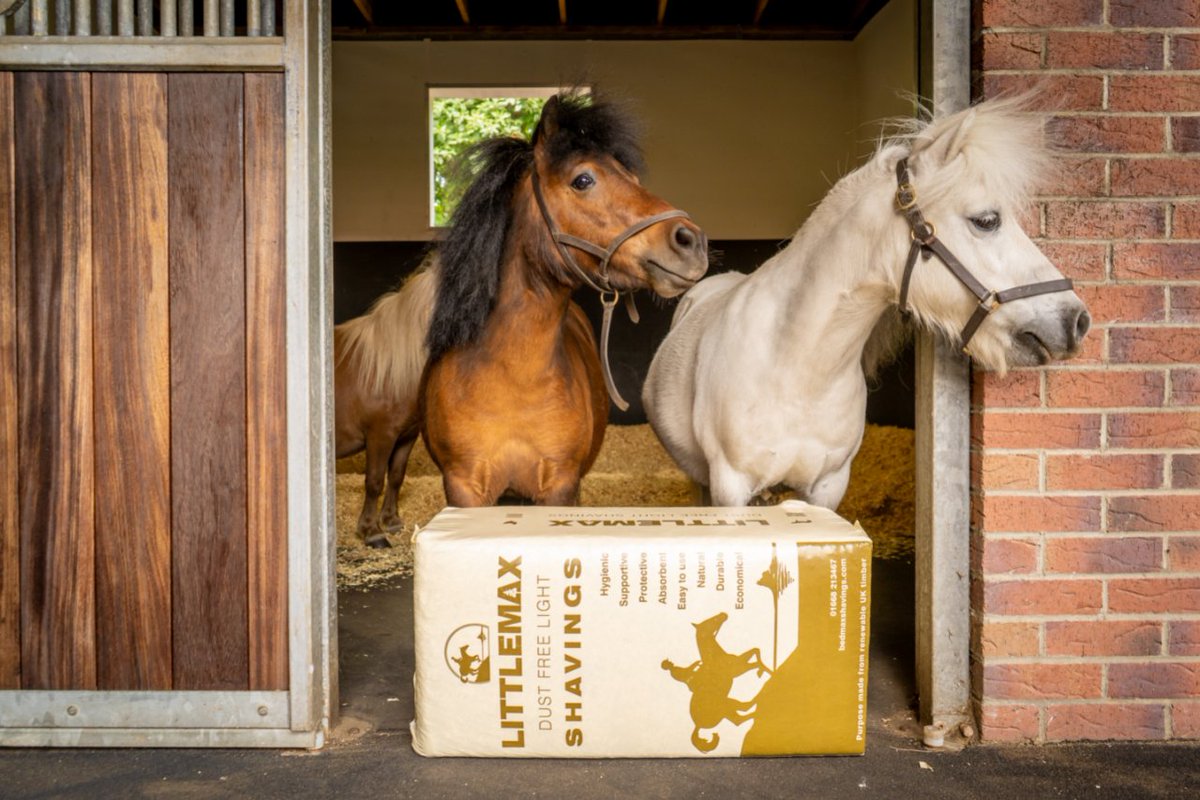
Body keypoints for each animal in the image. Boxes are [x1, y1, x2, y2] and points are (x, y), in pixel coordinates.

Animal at [334, 259, 435, 547]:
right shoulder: (380, 435)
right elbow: (375, 481)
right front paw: (371, 531)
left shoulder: (406, 436)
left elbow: (397, 476)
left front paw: (391, 521)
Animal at [420, 92, 709, 507]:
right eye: (583, 180)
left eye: (634, 180)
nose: (691, 242)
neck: (513, 380)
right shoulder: (463, 489)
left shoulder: (560, 487)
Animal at [662, 611, 771, 753]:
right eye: (710, 622)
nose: (723, 614)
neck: (714, 657)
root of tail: (696, 725)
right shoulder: (738, 669)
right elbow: (756, 660)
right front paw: (765, 671)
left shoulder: (740, 662)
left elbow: (755, 651)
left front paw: (764, 671)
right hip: (724, 706)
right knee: (741, 716)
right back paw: (760, 705)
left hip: (726, 706)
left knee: (741, 714)